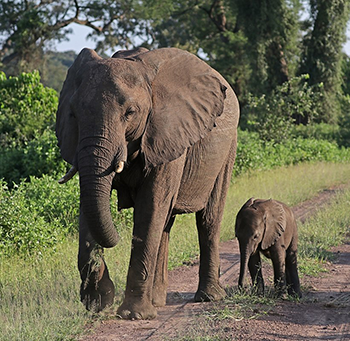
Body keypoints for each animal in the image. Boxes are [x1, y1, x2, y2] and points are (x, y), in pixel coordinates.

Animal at [56, 46, 239, 318]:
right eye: (74, 114)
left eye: (130, 113)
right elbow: (89, 204)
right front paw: (98, 301)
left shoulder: (167, 133)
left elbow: (150, 206)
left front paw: (133, 315)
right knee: (166, 223)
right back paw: (158, 301)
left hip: (228, 147)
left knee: (208, 218)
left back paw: (208, 297)